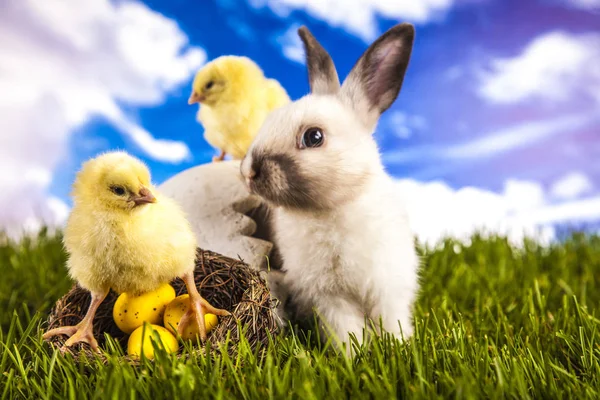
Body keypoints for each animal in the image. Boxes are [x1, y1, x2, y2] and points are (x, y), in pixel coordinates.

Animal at [240, 22, 422, 354]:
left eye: (313, 137)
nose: (248, 171)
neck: (328, 208)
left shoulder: (386, 289)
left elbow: (390, 322)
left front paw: (397, 349)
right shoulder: (329, 298)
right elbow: (346, 330)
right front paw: (353, 356)